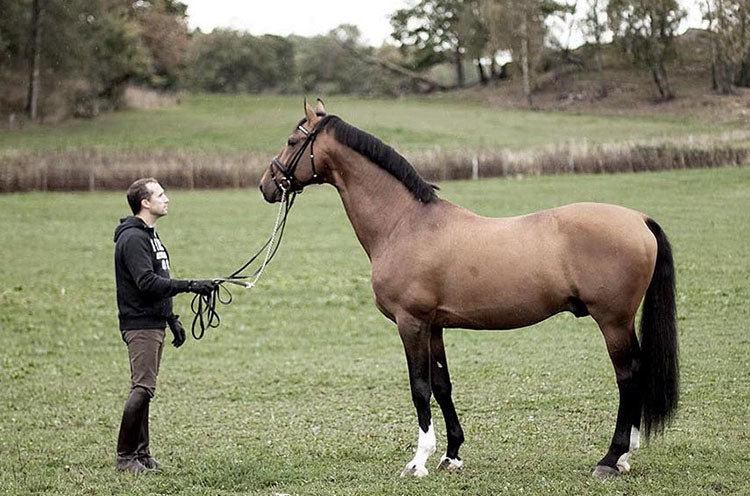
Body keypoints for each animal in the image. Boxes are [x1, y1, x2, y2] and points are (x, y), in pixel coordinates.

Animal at [258, 99, 680, 478]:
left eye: (293, 141)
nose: (266, 185)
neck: (405, 224)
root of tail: (638, 219)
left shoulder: (410, 322)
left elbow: (419, 388)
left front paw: (418, 462)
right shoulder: (434, 326)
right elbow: (442, 386)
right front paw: (451, 455)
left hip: (613, 321)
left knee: (628, 376)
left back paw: (611, 458)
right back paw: (625, 456)